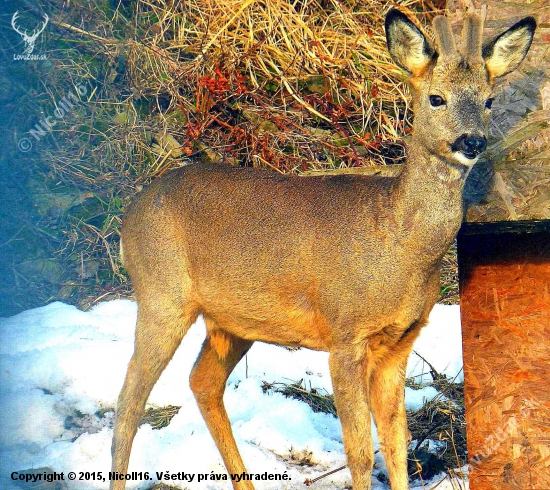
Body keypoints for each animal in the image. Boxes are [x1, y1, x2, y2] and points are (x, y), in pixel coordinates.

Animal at [110, 8, 536, 490]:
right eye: (436, 98)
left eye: (488, 101)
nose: (472, 142)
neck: (399, 243)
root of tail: (129, 217)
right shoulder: (345, 333)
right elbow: (360, 452)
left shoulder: (401, 339)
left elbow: (397, 441)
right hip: (161, 294)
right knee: (129, 400)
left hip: (233, 321)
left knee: (202, 381)